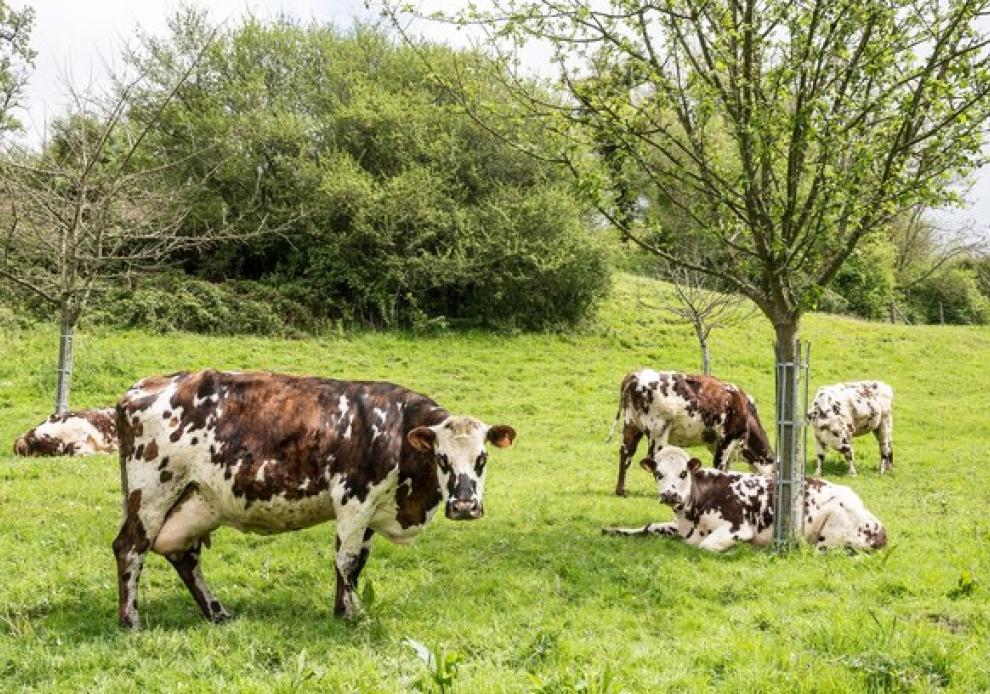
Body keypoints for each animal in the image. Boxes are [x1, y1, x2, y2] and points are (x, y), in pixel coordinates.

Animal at [604, 446, 892, 556]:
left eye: (684, 473)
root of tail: (878, 526)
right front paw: (614, 529)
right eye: (658, 474)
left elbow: (706, 546)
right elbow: (650, 526)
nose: (670, 494)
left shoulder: (737, 527)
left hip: (831, 531)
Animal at [608, 370, 780, 494]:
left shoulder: (716, 443)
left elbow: (725, 468)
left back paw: (621, 490)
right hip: (658, 430)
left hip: (631, 425)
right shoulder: (727, 438)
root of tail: (635, 375)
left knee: (626, 453)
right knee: (653, 458)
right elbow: (720, 466)